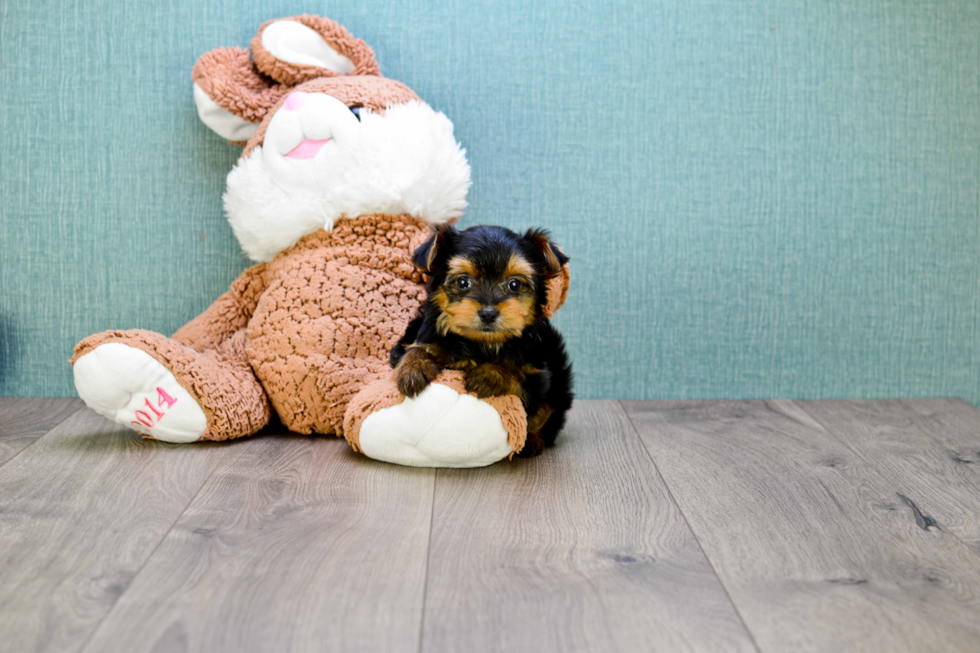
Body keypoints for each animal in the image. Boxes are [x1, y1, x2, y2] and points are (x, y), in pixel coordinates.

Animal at [390, 227, 576, 456]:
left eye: (514, 284)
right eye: (463, 282)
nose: (488, 313)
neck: (480, 344)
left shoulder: (538, 377)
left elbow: (516, 374)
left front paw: (490, 374)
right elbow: (417, 348)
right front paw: (413, 369)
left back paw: (531, 441)